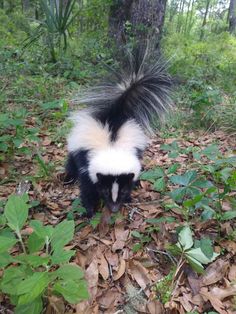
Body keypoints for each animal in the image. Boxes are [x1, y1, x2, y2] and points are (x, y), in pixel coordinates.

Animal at [64, 49, 171, 217]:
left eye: (123, 191)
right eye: (105, 191)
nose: (114, 209)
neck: (112, 147)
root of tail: (115, 113)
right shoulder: (86, 164)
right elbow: (87, 189)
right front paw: (89, 211)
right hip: (76, 148)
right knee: (70, 163)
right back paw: (68, 178)